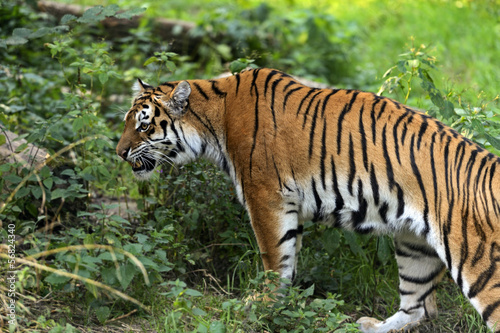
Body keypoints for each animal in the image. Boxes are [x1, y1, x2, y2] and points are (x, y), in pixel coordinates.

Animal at [117, 68, 500, 332]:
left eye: (144, 126)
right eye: (126, 122)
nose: (119, 152)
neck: (214, 118)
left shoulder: (265, 195)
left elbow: (275, 258)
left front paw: (259, 306)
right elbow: (288, 254)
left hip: (477, 261)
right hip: (413, 244)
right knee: (419, 307)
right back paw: (371, 326)